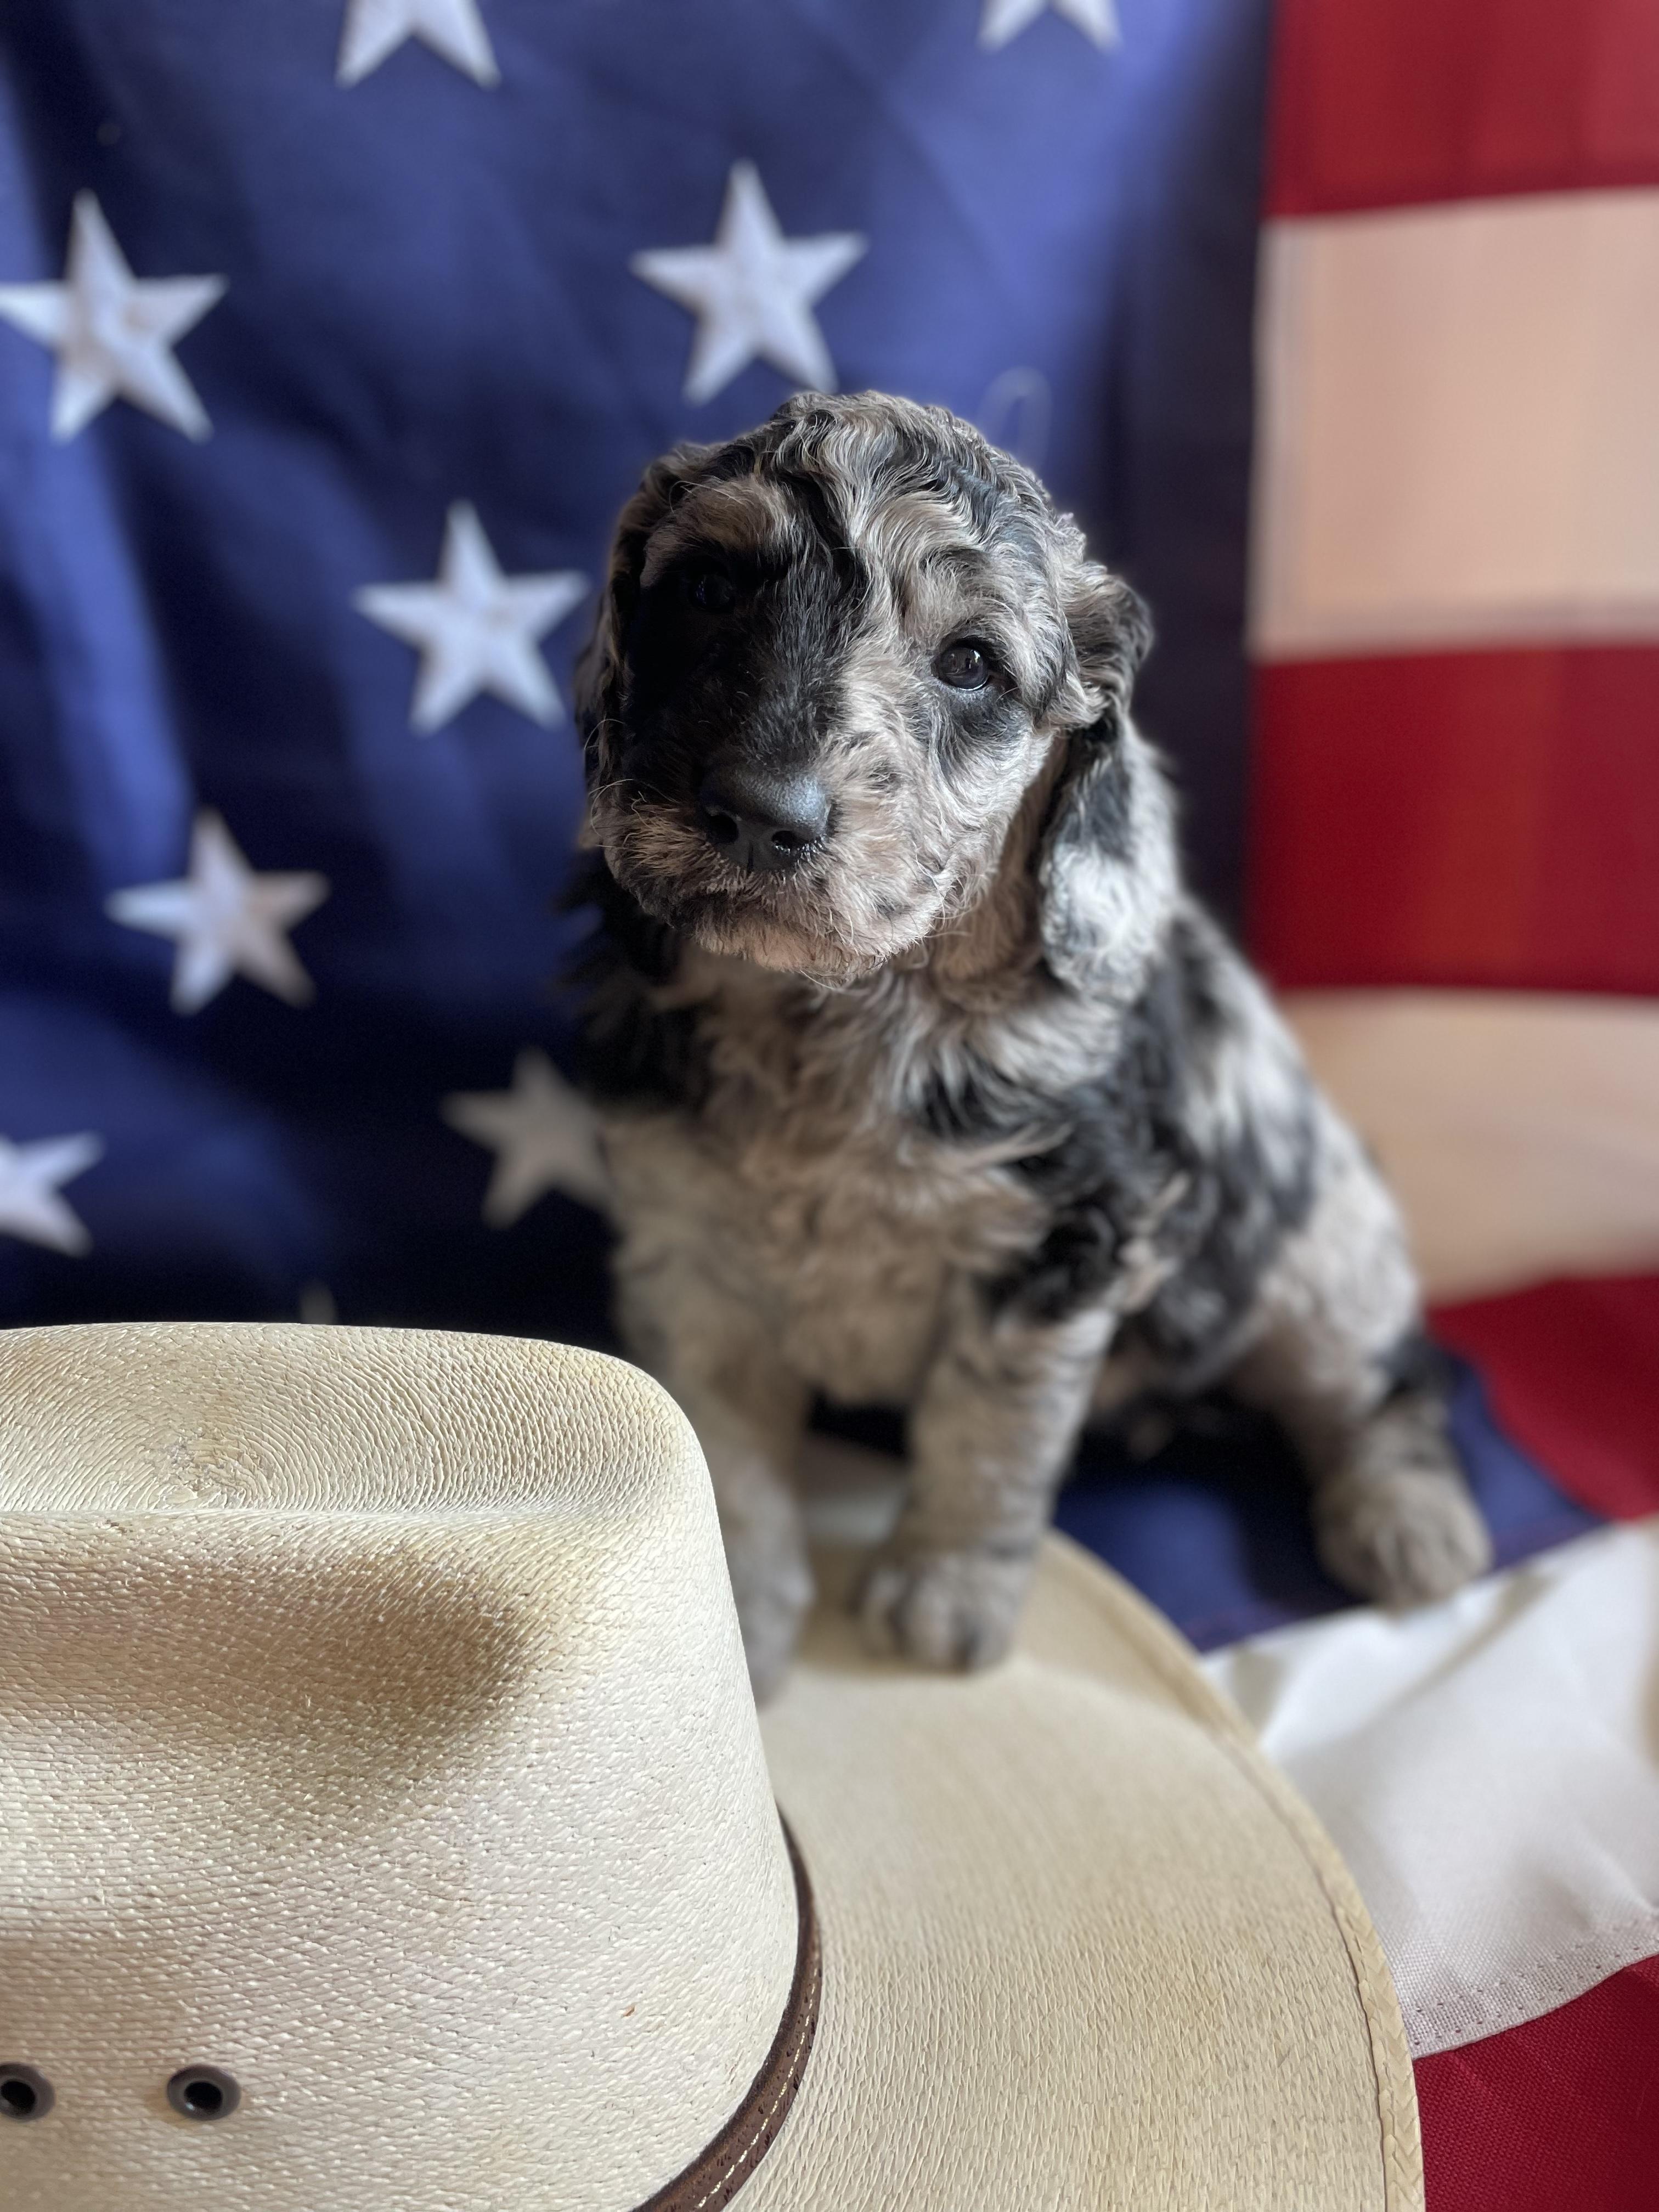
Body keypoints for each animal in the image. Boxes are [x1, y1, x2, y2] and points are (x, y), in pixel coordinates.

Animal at [570, 390, 1492, 1699]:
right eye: (707, 587)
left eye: (970, 664)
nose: (760, 813)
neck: (837, 1013)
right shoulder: (685, 1247)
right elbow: (725, 1459)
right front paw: (730, 1623)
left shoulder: (1061, 1239)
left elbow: (987, 1431)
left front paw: (943, 1593)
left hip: (1321, 1261)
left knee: (1386, 1381)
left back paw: (1409, 1523)